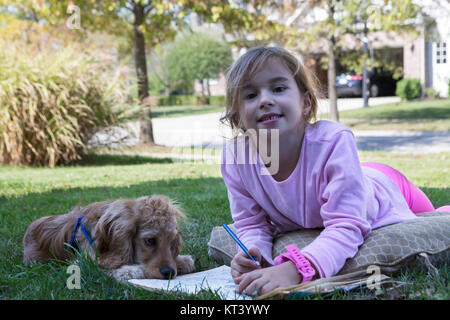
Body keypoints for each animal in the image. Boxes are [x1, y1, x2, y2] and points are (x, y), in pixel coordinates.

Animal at [22, 195, 195, 280]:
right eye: (150, 241)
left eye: (172, 242)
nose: (169, 273)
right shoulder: (85, 264)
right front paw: (133, 269)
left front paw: (182, 260)